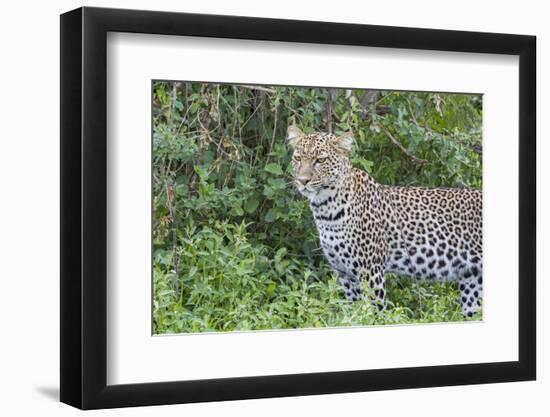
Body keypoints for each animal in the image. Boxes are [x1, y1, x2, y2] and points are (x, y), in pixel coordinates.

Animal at [286, 125, 486, 316]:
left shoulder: (370, 271)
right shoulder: (345, 275)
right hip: (472, 283)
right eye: (298, 158)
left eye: (320, 160)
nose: (303, 181)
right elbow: (355, 314)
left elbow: (372, 314)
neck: (326, 209)